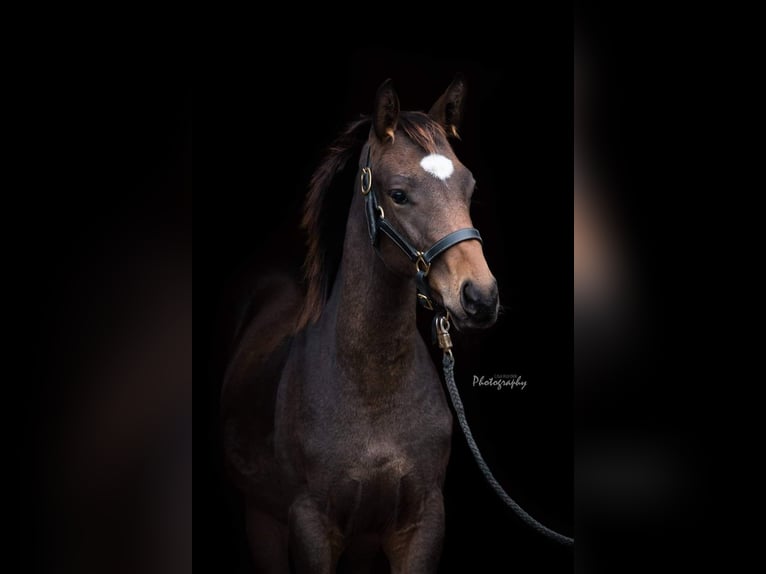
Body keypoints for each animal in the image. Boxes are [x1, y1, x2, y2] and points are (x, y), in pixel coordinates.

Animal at [221, 77, 500, 573]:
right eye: (399, 194)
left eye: (468, 187)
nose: (480, 298)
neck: (371, 388)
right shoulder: (311, 526)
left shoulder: (420, 523)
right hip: (262, 521)